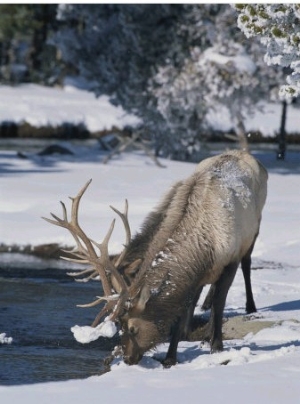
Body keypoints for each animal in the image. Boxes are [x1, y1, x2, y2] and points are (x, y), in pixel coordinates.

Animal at [42, 150, 268, 368]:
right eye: (120, 326)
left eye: (132, 328)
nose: (126, 358)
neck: (205, 245)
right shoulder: (193, 276)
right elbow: (182, 310)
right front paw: (171, 355)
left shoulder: (230, 258)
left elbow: (220, 304)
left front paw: (216, 346)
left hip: (255, 229)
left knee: (247, 265)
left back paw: (249, 306)